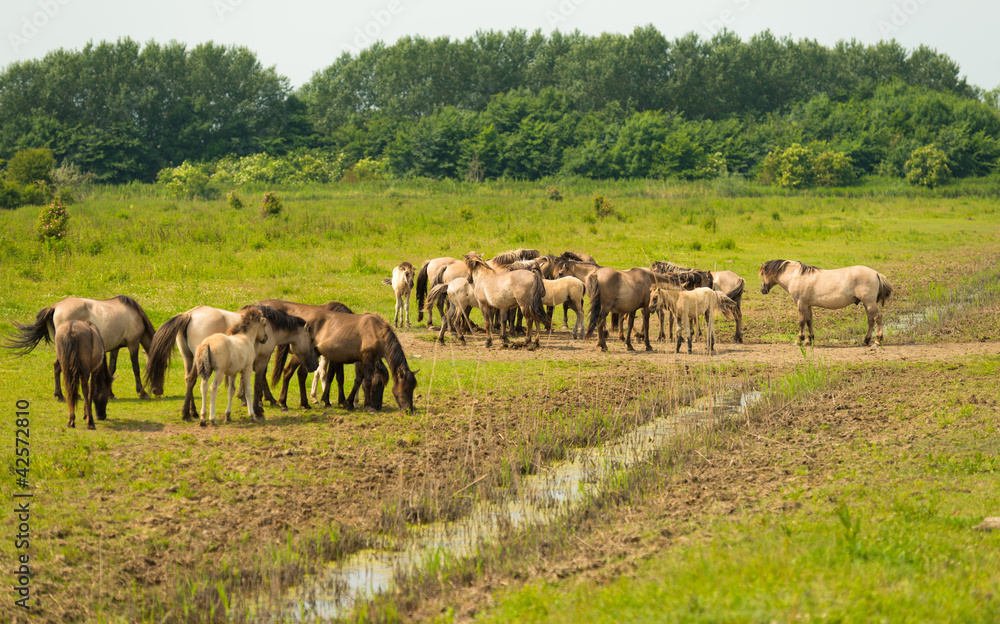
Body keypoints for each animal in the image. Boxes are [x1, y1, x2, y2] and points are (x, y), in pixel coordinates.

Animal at [4, 294, 156, 400]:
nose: (157, 390)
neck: (134, 314)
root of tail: (55, 307)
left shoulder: (115, 347)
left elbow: (112, 369)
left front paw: (111, 394)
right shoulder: (133, 343)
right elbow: (136, 368)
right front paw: (142, 392)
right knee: (58, 366)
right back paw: (60, 395)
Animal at [144, 304, 316, 422]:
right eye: (312, 340)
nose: (314, 366)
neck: (272, 326)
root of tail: (189, 315)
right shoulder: (261, 359)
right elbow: (257, 384)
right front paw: (258, 410)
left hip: (188, 358)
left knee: (189, 380)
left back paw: (192, 412)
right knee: (193, 379)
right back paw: (187, 414)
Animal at [760, 258, 896, 346]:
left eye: (763, 274)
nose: (762, 290)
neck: (796, 276)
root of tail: (876, 273)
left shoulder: (801, 304)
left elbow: (802, 322)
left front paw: (799, 340)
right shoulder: (807, 305)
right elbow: (809, 321)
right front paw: (809, 340)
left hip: (869, 303)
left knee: (878, 318)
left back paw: (878, 341)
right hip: (866, 304)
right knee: (871, 321)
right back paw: (865, 341)